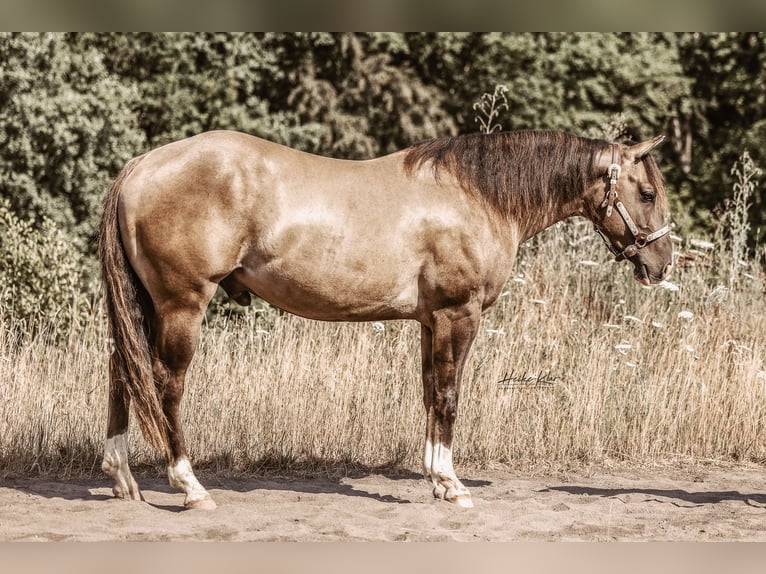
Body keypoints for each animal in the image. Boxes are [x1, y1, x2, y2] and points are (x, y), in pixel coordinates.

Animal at [98, 129, 672, 510]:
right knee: (167, 386)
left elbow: (430, 394)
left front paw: (435, 477)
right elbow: (449, 396)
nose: (662, 264)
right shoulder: (458, 315)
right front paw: (452, 485)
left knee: (122, 372)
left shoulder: (429, 321)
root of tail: (141, 165)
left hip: (146, 305)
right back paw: (189, 487)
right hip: (182, 304)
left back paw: (121, 477)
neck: (477, 195)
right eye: (646, 193)